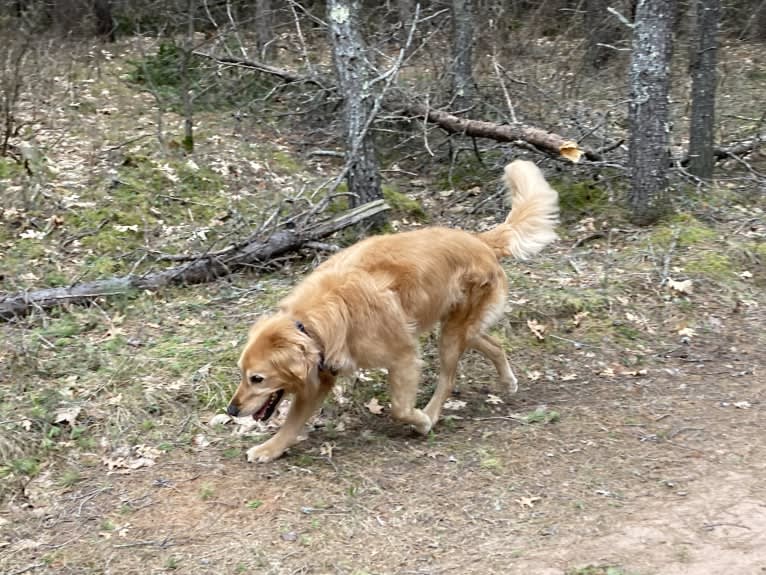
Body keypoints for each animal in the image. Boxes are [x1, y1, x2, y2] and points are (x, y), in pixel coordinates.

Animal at [225, 161, 560, 464]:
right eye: (242, 374)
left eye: (257, 378)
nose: (231, 410)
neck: (309, 323)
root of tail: (478, 239)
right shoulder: (321, 375)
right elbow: (292, 423)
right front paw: (269, 449)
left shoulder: (403, 356)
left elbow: (399, 408)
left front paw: (419, 421)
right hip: (457, 325)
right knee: (493, 343)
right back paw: (507, 381)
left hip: (451, 334)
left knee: (448, 378)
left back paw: (431, 415)